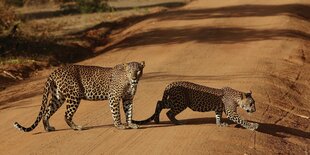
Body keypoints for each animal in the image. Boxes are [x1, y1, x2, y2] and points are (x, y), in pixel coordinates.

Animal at [13, 61, 145, 131]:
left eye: (138, 71)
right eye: (129, 72)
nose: (134, 78)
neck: (129, 82)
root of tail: (55, 71)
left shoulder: (128, 99)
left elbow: (129, 112)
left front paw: (131, 124)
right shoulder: (114, 97)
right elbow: (116, 113)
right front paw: (119, 125)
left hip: (58, 97)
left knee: (46, 112)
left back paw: (48, 128)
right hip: (74, 96)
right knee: (66, 115)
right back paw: (76, 127)